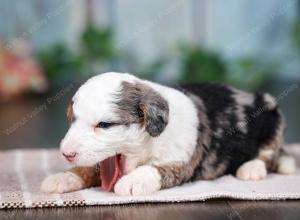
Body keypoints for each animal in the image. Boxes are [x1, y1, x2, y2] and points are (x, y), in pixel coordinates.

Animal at [41, 72, 296, 196]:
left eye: (104, 125)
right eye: (72, 119)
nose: (66, 154)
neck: (149, 144)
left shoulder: (180, 162)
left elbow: (154, 169)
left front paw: (132, 182)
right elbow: (87, 168)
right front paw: (63, 177)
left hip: (274, 118)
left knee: (268, 155)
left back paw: (252, 168)